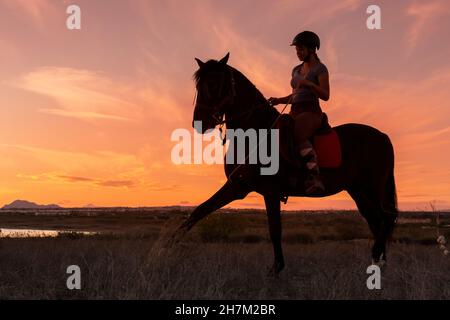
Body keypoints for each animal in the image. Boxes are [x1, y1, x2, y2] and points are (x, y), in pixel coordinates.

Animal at [172, 52, 398, 276]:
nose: (199, 122)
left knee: (385, 219)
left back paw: (377, 258)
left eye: (214, 83)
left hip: (371, 189)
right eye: (198, 85)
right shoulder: (237, 187)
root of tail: (383, 136)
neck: (256, 132)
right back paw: (378, 264)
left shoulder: (269, 191)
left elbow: (275, 230)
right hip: (359, 191)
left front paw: (276, 268)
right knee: (376, 221)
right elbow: (199, 211)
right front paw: (169, 247)